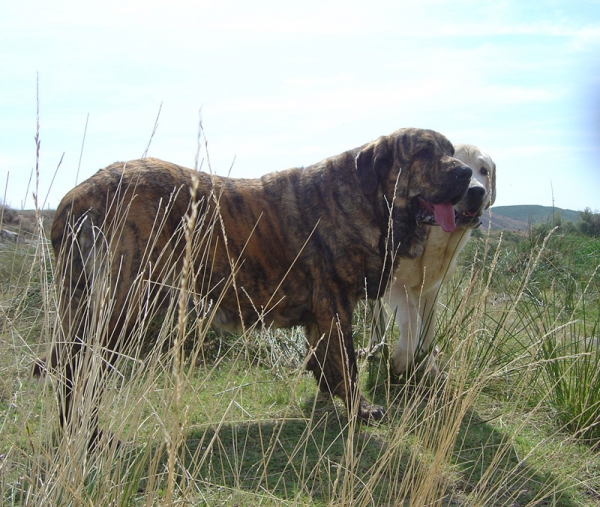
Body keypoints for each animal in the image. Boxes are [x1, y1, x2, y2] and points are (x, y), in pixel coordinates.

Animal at [37, 128, 472, 440]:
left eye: (452, 150)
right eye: (423, 153)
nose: (466, 174)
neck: (369, 201)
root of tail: (72, 201)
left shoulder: (321, 318)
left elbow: (325, 365)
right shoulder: (334, 309)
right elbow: (346, 367)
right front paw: (360, 411)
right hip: (118, 309)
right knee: (80, 377)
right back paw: (89, 438)